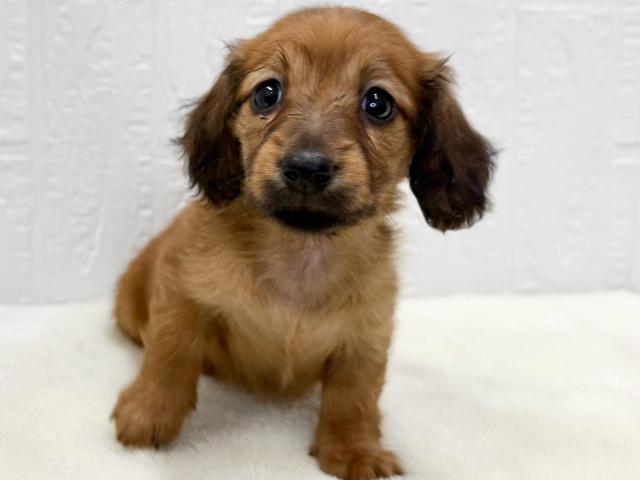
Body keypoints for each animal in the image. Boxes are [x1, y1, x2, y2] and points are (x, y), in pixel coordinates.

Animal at [112, 6, 494, 480]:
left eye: (378, 103)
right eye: (267, 93)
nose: (307, 167)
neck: (303, 252)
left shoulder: (366, 334)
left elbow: (354, 396)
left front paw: (354, 451)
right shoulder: (183, 292)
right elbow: (170, 352)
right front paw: (147, 415)